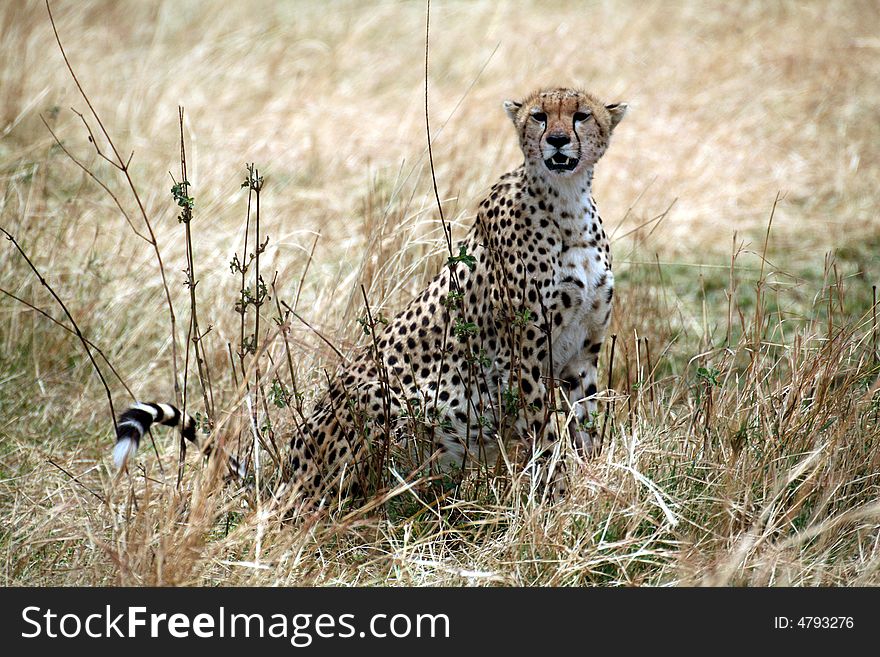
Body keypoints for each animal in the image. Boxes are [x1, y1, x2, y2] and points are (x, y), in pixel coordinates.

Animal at [113, 87, 624, 504]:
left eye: (580, 115)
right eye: (539, 116)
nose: (556, 140)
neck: (567, 204)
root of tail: (286, 475)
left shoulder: (581, 352)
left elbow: (586, 422)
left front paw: (593, 480)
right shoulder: (527, 353)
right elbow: (546, 433)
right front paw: (556, 494)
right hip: (382, 398)